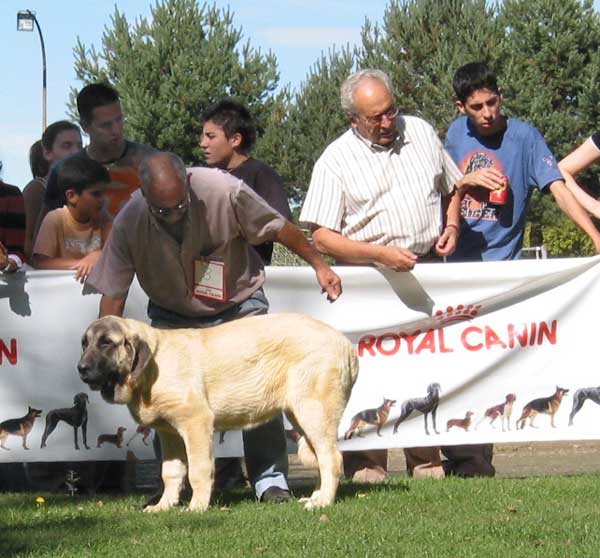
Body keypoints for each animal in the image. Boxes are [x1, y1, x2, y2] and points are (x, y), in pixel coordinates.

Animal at [79, 318, 360, 516]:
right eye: (85, 343)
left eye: (106, 342)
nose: (81, 368)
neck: (151, 368)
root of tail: (346, 345)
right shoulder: (170, 435)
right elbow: (171, 473)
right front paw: (163, 506)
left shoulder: (196, 422)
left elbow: (198, 470)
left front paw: (196, 507)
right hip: (301, 415)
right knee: (323, 459)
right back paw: (316, 497)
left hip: (313, 411)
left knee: (332, 458)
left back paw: (323, 502)